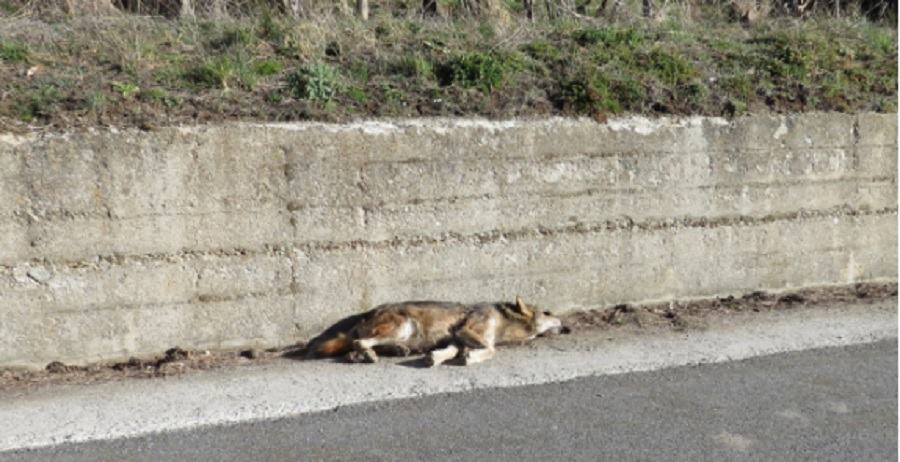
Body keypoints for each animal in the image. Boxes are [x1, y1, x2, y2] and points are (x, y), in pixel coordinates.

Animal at [306, 297, 563, 366]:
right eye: (548, 313)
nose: (567, 327)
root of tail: (364, 316)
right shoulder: (466, 330)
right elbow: (491, 350)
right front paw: (471, 358)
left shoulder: (457, 338)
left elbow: (452, 351)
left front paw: (436, 358)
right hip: (404, 326)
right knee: (360, 343)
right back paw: (371, 354)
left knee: (355, 348)